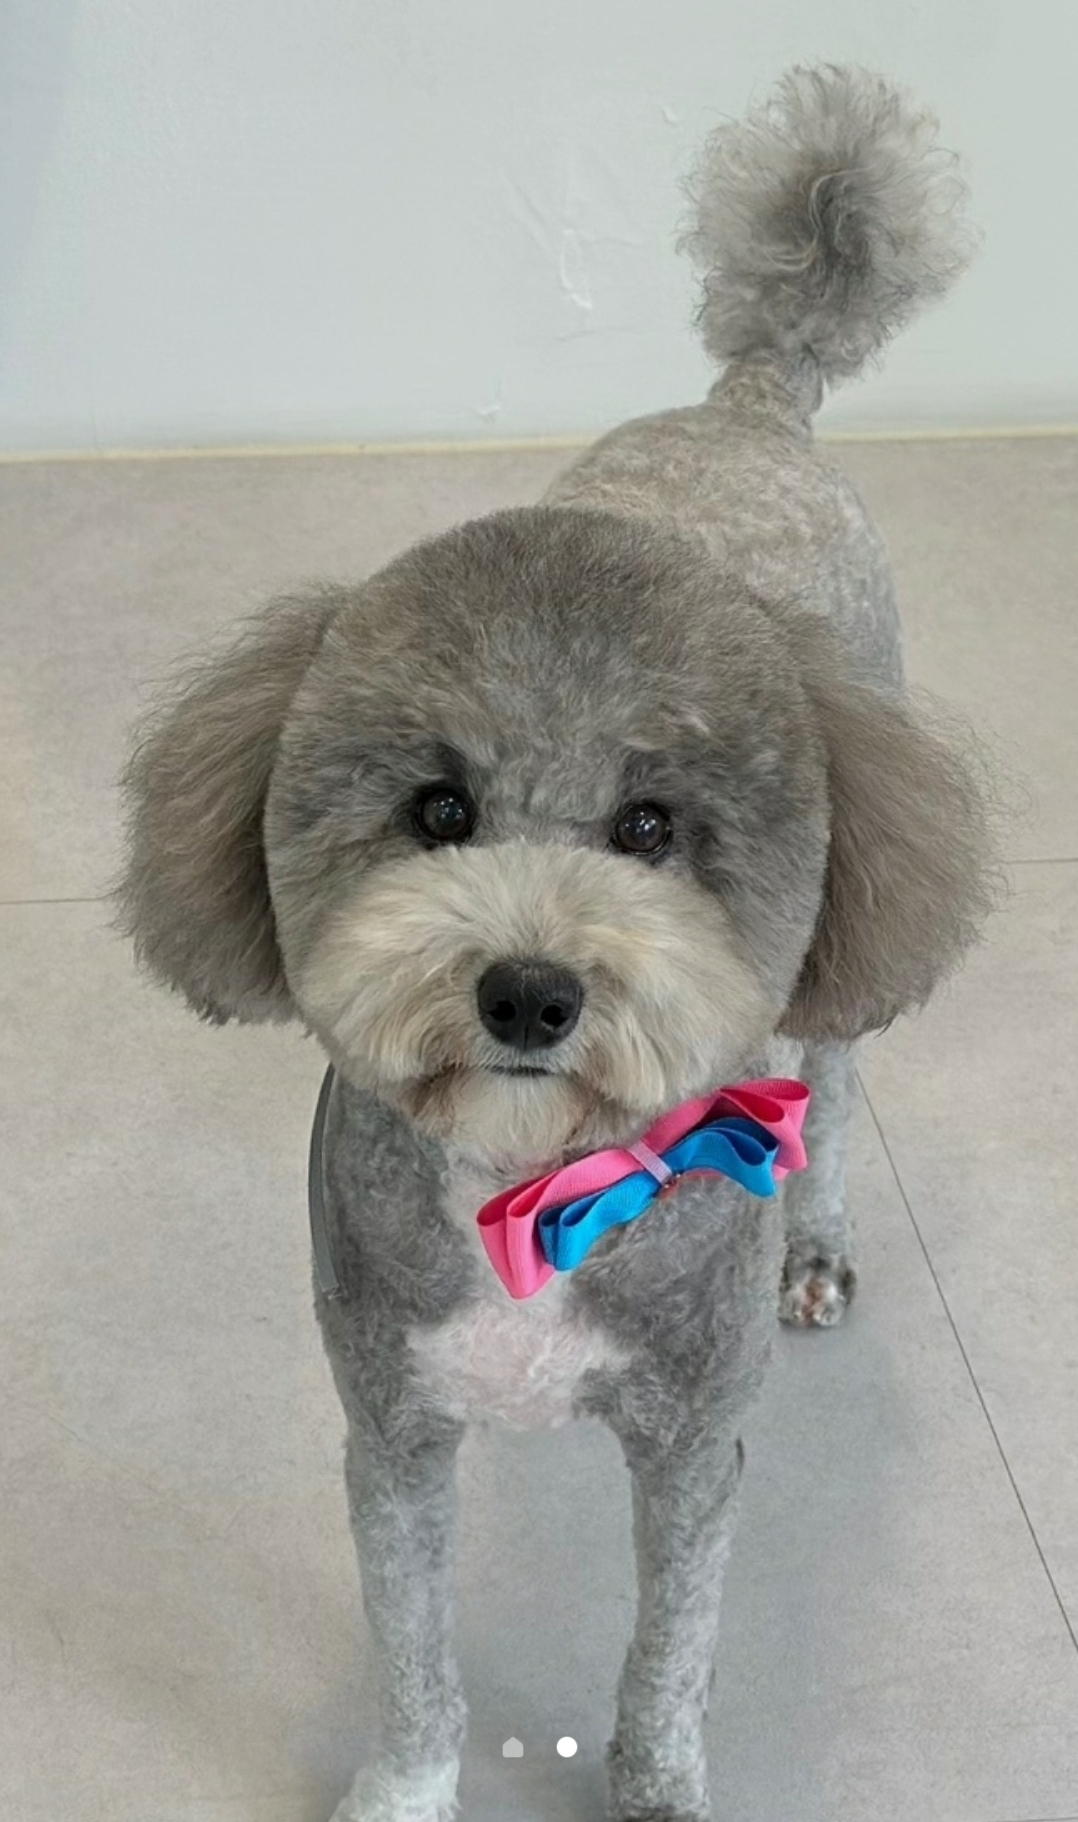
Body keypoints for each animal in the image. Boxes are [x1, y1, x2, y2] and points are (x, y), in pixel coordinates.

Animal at [118, 65, 996, 1822]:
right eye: (438, 808)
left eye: (651, 826)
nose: (527, 990)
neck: (532, 1180)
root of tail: (746, 403)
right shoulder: (390, 1432)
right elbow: (414, 1664)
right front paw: (401, 1792)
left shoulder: (695, 1451)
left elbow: (665, 1666)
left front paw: (652, 1789)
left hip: (846, 991)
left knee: (836, 1091)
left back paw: (818, 1236)